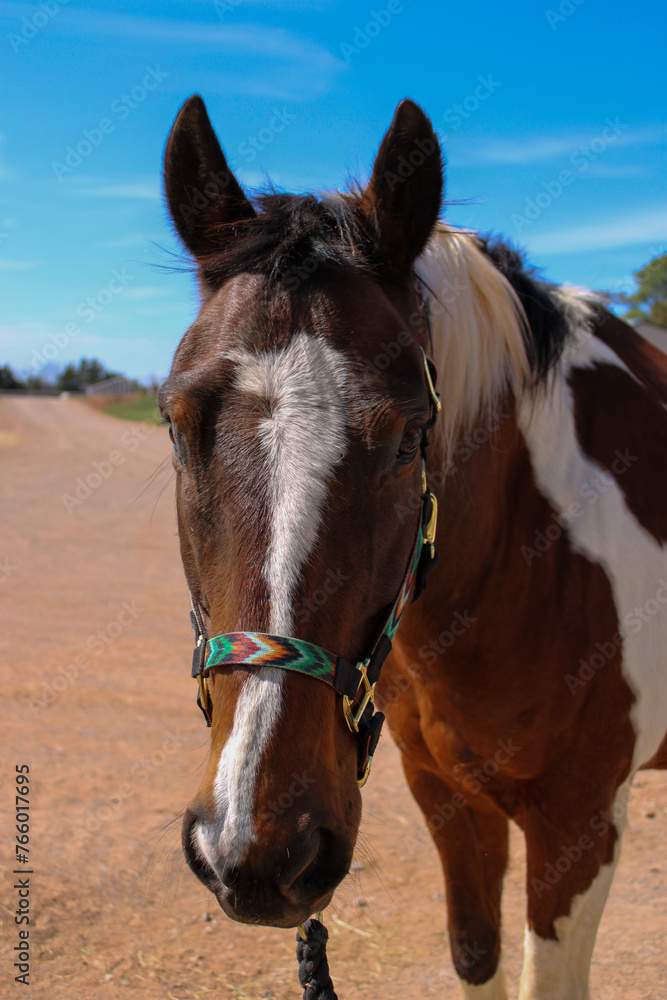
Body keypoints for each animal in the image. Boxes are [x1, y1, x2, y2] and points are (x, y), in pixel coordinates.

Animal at [159, 95, 664, 1000]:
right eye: (178, 427)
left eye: (407, 438)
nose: (257, 855)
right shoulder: (448, 801)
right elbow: (473, 954)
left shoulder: (579, 821)